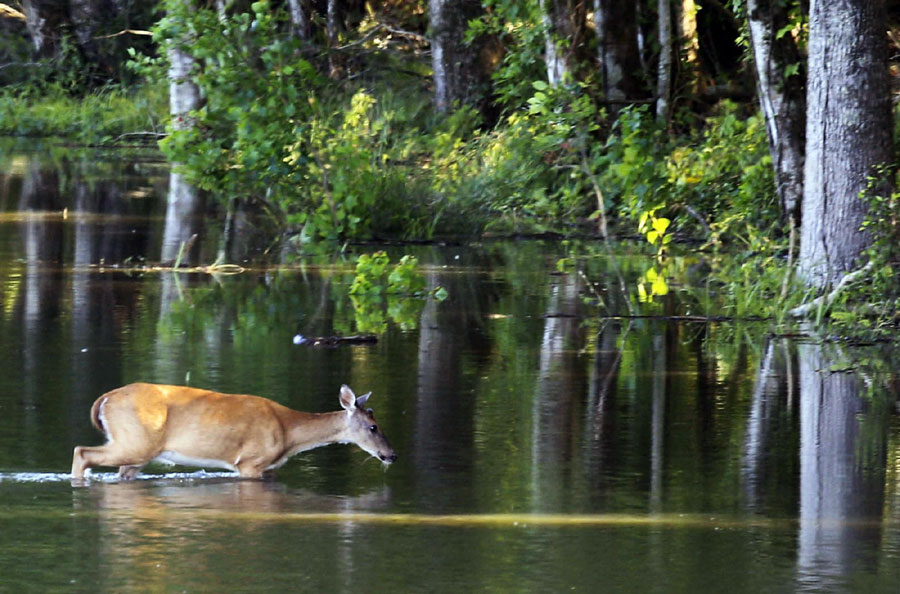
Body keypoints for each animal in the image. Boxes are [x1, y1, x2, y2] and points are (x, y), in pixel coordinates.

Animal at [70, 382, 394, 478]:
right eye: (373, 426)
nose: (392, 455)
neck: (288, 432)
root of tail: (106, 398)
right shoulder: (251, 461)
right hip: (136, 441)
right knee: (81, 451)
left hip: (137, 451)